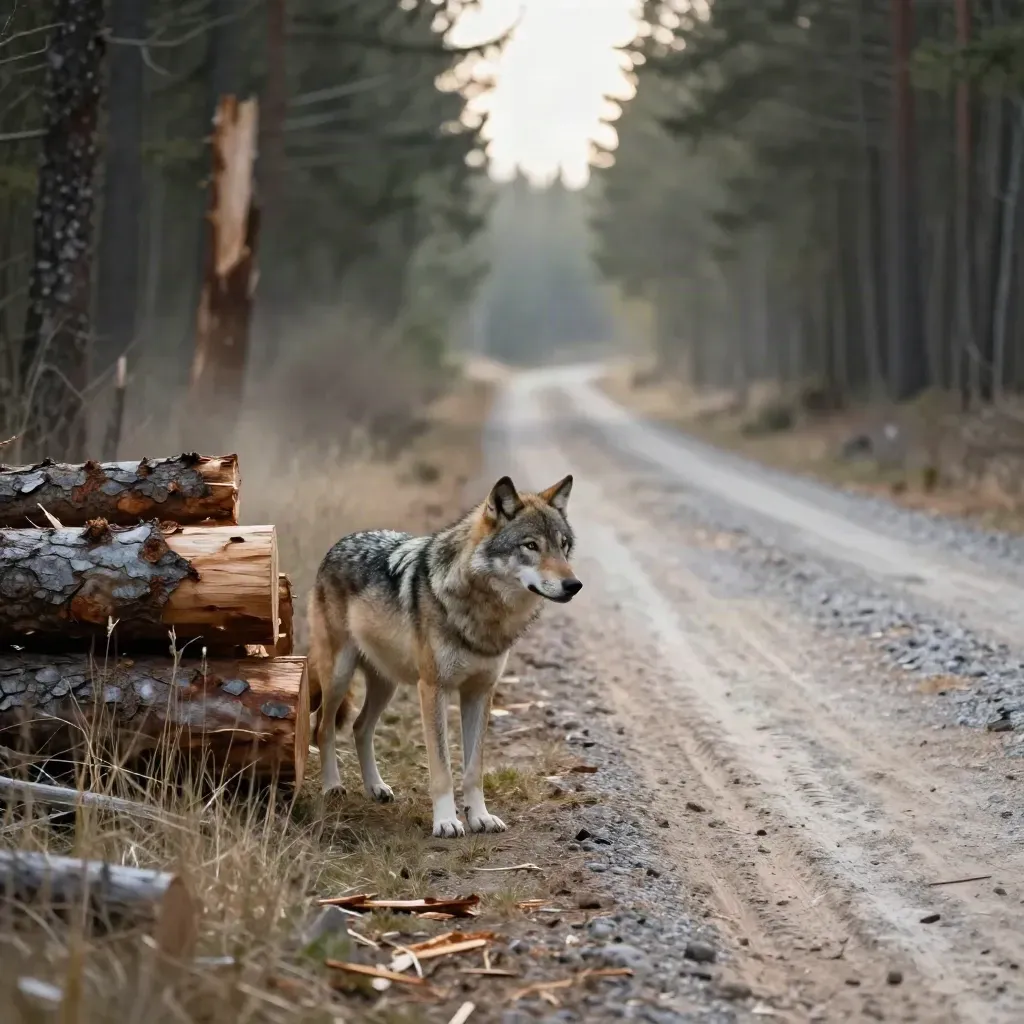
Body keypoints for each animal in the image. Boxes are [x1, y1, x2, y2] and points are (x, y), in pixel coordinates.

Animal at [307, 474, 581, 837]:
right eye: (531, 546)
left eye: (563, 546)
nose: (574, 585)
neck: (485, 613)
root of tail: (338, 543)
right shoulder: (433, 690)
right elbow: (442, 768)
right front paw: (447, 821)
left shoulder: (480, 692)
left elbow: (474, 769)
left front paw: (480, 817)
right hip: (339, 675)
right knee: (324, 728)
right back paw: (332, 787)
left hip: (387, 684)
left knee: (360, 727)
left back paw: (376, 787)